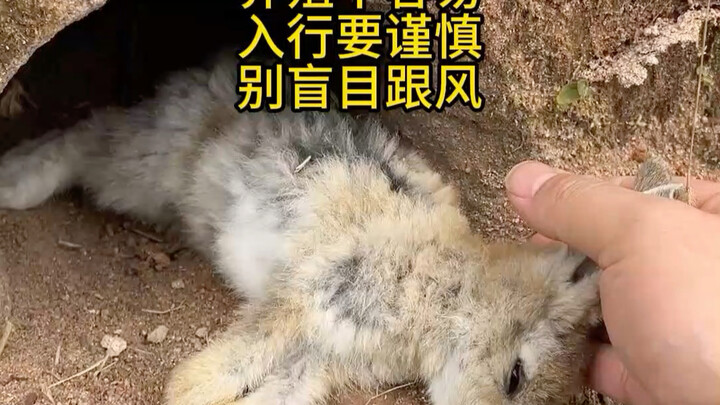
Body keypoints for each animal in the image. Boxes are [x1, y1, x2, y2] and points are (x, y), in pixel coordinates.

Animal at [0, 49, 689, 404]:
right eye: (515, 377)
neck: (448, 292)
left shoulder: (321, 355)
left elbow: (279, 392)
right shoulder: (307, 298)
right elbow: (221, 369)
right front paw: (185, 392)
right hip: (147, 166)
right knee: (84, 139)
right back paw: (14, 184)